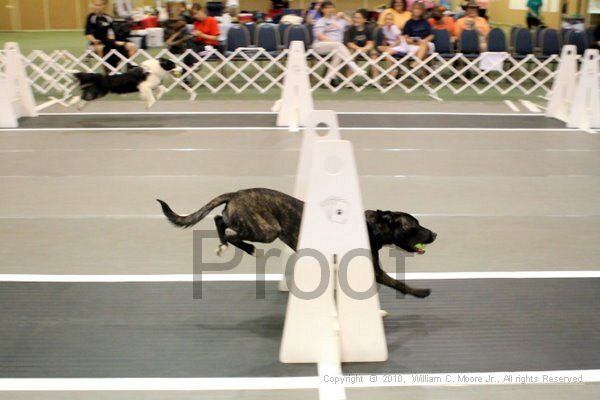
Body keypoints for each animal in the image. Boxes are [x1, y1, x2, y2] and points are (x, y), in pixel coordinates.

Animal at [157, 188, 438, 296]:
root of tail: (236, 193)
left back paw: (225, 243)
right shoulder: (374, 271)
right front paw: (421, 292)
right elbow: (399, 283)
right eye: (414, 226)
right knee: (230, 231)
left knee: (219, 220)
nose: (434, 234)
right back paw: (245, 248)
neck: (372, 227)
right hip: (267, 231)